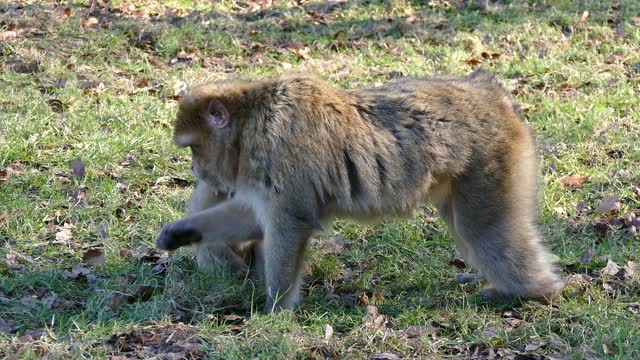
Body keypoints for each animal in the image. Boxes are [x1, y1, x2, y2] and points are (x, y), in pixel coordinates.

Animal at [156, 70, 564, 312]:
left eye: (193, 148)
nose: (196, 170)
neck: (252, 124)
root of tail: (487, 91)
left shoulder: (282, 156)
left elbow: (289, 222)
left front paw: (275, 310)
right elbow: (252, 218)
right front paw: (180, 232)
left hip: (492, 161)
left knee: (483, 231)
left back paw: (534, 291)